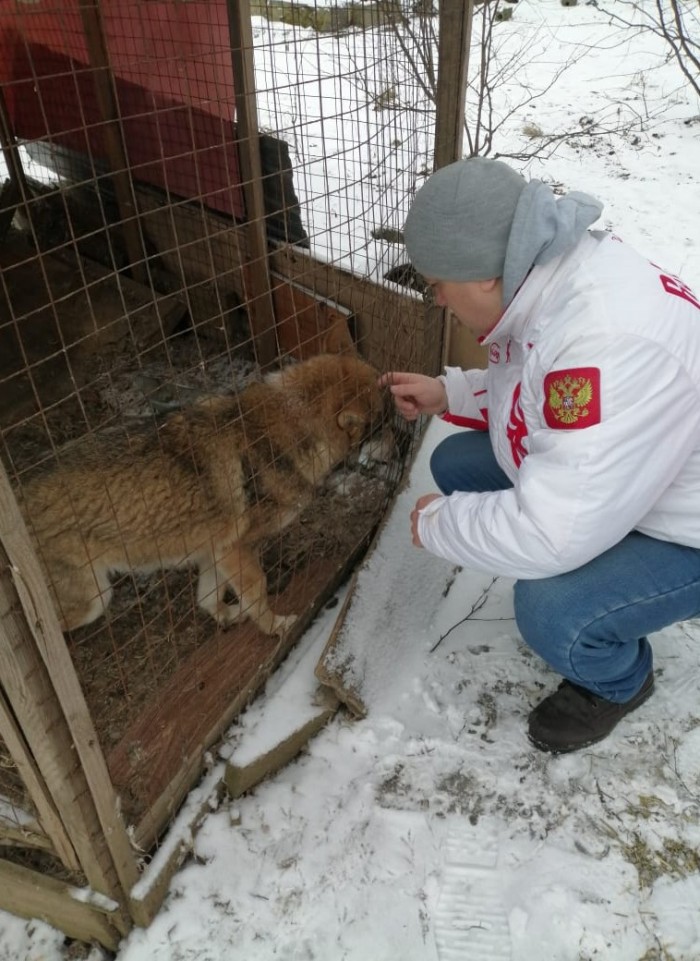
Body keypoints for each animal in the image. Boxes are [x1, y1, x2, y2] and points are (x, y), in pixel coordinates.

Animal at [21, 348, 386, 632]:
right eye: (384, 416)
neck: (290, 424)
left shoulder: (216, 550)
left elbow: (210, 598)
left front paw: (228, 616)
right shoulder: (236, 549)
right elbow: (259, 590)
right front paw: (275, 627)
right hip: (91, 601)